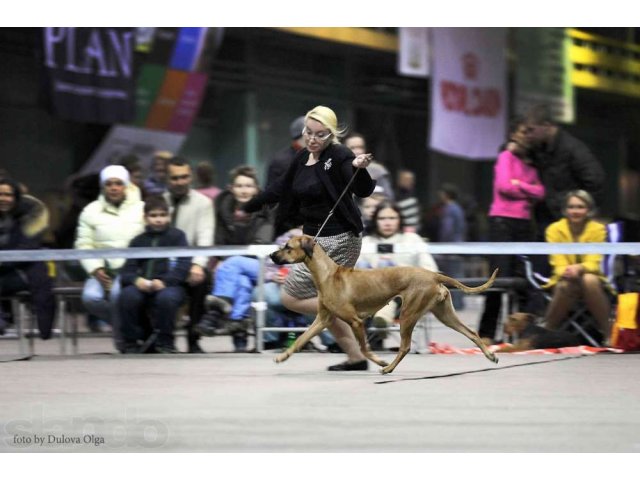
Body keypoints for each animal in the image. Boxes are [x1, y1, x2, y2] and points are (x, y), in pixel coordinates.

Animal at [270, 236, 500, 376]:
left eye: (288, 247)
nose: (272, 255)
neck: (328, 274)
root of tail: (434, 274)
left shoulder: (355, 321)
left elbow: (364, 348)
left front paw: (379, 361)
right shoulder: (323, 319)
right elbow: (300, 339)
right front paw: (282, 356)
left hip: (408, 314)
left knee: (405, 346)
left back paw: (388, 368)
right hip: (444, 314)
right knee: (471, 332)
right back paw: (491, 355)